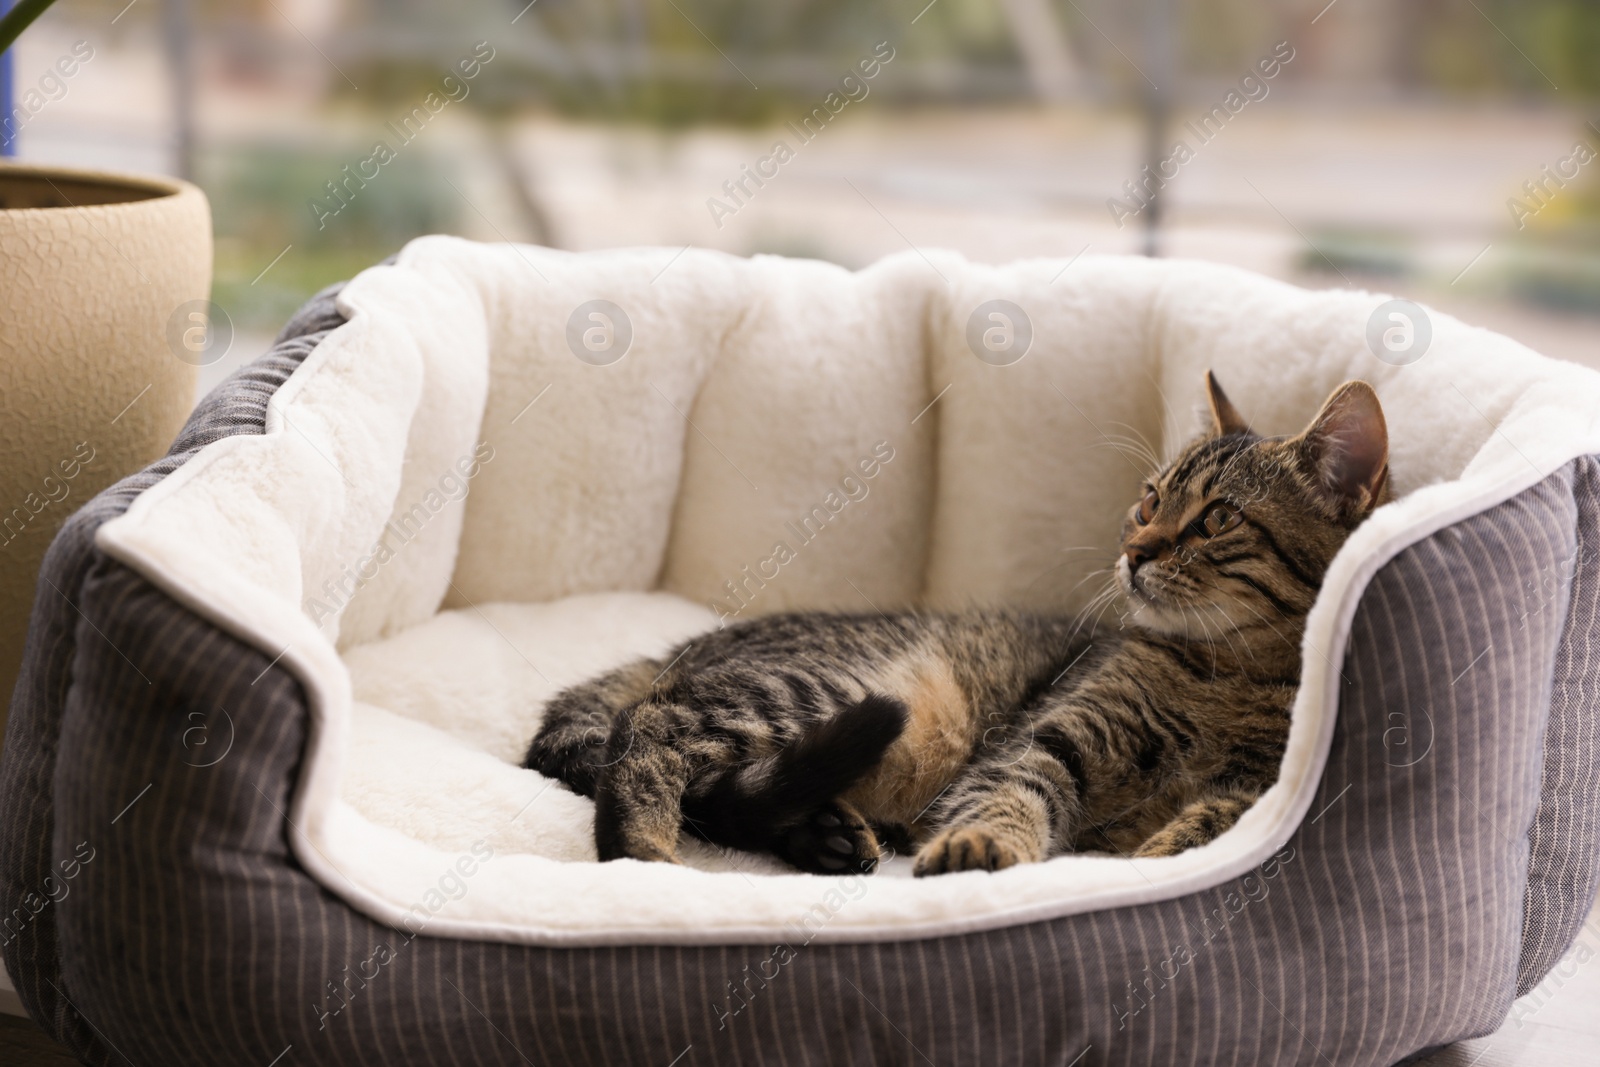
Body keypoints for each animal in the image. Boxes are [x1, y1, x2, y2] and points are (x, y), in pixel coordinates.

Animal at [524, 375, 1388, 876]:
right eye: (1149, 500)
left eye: (1216, 519)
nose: (1133, 550)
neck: (1228, 673)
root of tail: (678, 649)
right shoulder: (1048, 735)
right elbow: (1013, 792)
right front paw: (985, 846)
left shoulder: (1259, 781)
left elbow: (1224, 813)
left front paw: (1173, 843)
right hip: (857, 691)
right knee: (652, 726)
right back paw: (643, 848)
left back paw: (826, 834)